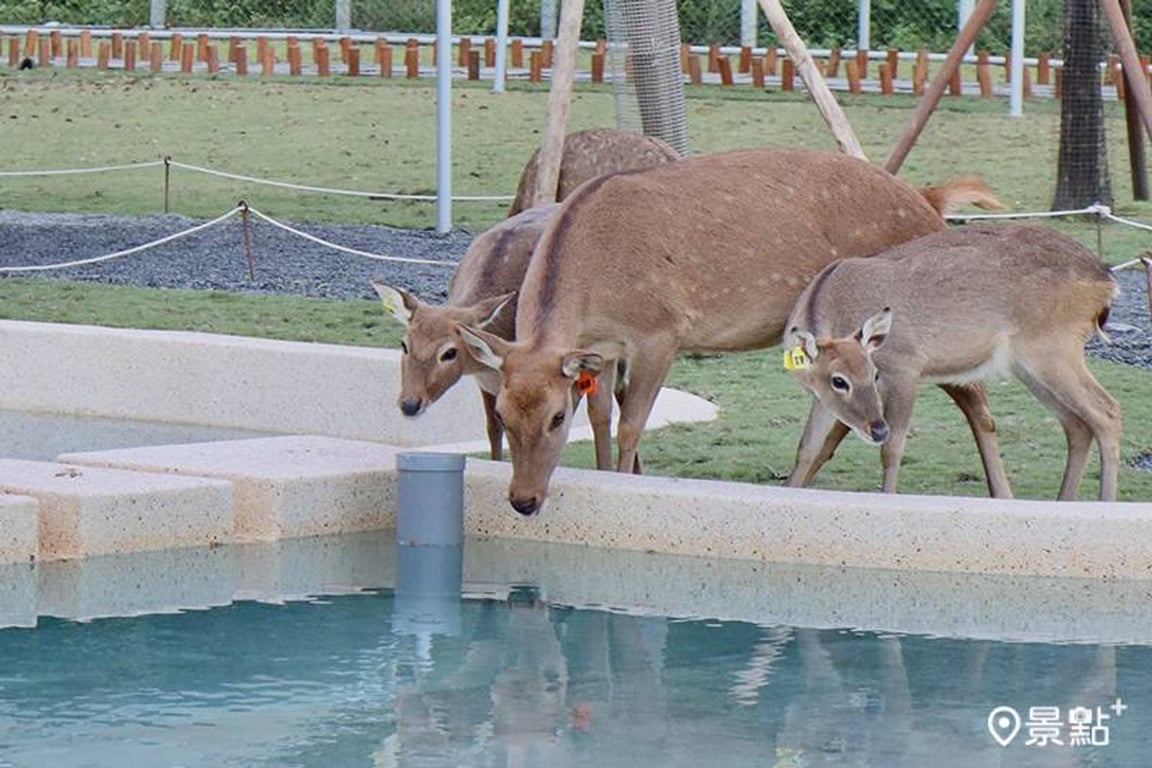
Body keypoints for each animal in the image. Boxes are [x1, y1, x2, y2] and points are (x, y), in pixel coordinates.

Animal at [453, 146, 1004, 513]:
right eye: (500, 412)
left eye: (554, 418)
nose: (523, 500)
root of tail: (930, 201)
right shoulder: (603, 348)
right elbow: (602, 420)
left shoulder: (660, 331)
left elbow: (631, 425)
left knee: (977, 401)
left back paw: (1004, 495)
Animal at [778, 222, 1119, 502]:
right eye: (839, 380)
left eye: (874, 373)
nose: (876, 429)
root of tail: (1107, 280)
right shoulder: (822, 397)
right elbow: (806, 448)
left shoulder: (906, 366)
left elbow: (893, 449)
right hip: (1030, 365)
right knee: (1077, 423)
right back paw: (1063, 500)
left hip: (1054, 348)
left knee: (1107, 410)